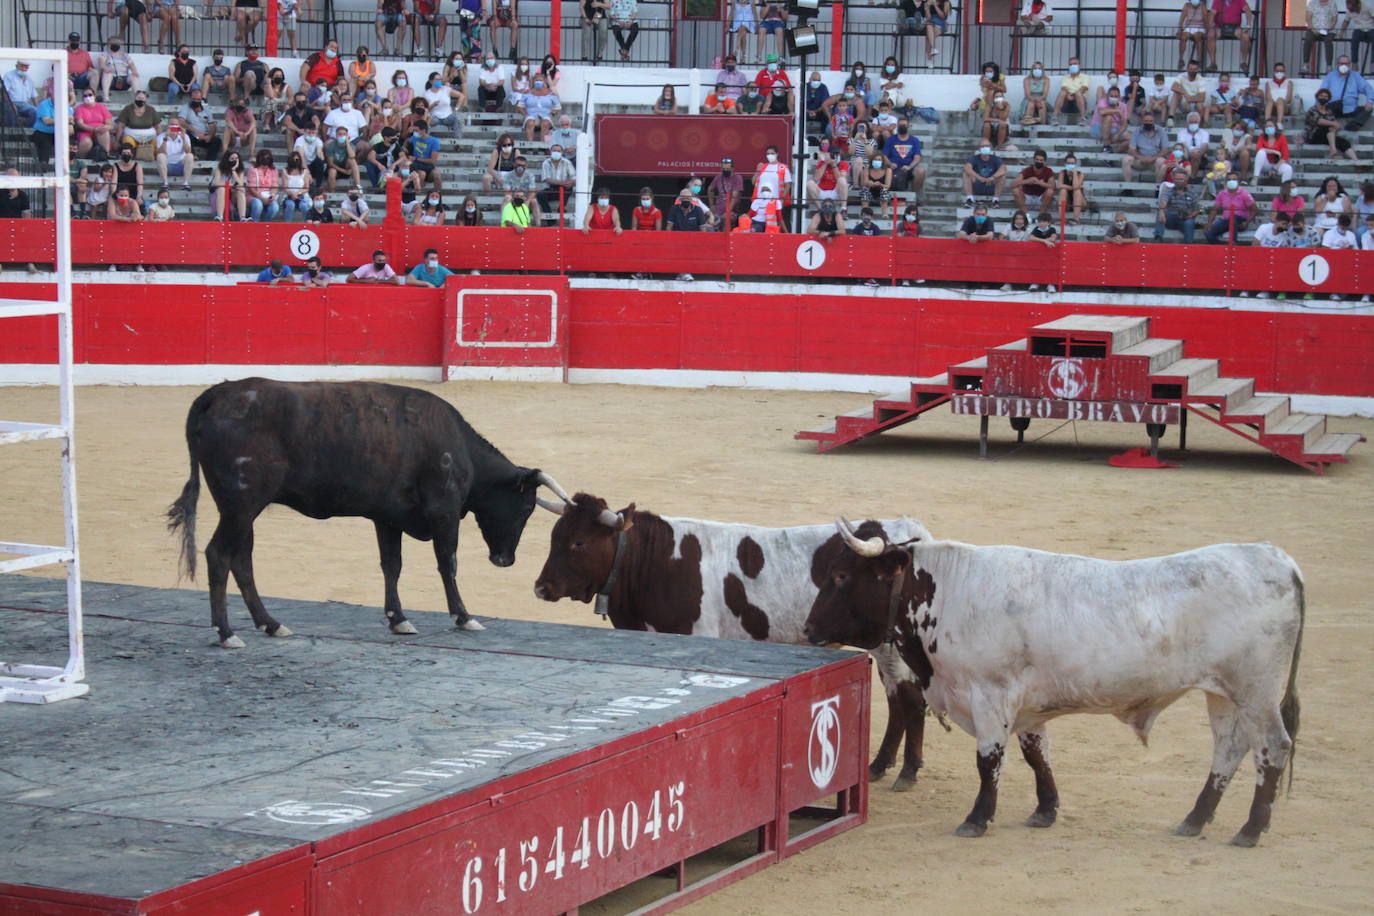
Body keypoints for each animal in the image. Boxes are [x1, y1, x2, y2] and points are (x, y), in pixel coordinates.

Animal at [167, 376, 568, 648]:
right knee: (219, 555)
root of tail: (220, 392)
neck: (459, 447)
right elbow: (448, 562)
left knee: (242, 559)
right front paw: (464, 616)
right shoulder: (444, 509)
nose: (505, 560)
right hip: (242, 502)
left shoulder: (387, 516)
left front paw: (398, 619)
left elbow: (392, 565)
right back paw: (226, 633)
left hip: (241, 507)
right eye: (527, 508)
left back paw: (270, 624)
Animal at [533, 494, 934, 791]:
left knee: (909, 699)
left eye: (578, 542)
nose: (541, 587)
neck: (658, 561)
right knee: (899, 698)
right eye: (554, 537)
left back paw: (905, 770)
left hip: (892, 647)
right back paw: (880, 765)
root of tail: (911, 532)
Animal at [807, 519, 1302, 851]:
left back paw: (1250, 829)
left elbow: (989, 761)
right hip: (1223, 694)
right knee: (1229, 749)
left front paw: (978, 817)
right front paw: (1045, 810)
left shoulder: (990, 697)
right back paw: (1196, 818)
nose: (810, 629)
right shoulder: (1027, 706)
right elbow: (1036, 755)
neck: (949, 591)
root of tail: (1275, 557)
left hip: (1256, 692)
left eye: (841, 576)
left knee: (1272, 748)